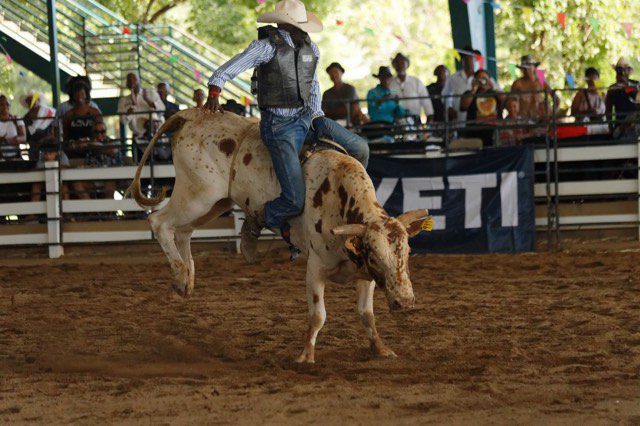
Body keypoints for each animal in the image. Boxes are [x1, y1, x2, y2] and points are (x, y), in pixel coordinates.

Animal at [127, 110, 430, 362]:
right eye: (376, 256)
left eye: (407, 252)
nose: (405, 302)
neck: (338, 198)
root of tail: (190, 114)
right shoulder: (315, 268)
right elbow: (318, 316)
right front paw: (306, 356)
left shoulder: (363, 274)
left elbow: (366, 315)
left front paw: (381, 349)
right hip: (197, 195)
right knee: (159, 222)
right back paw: (180, 275)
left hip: (214, 203)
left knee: (184, 230)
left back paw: (187, 278)